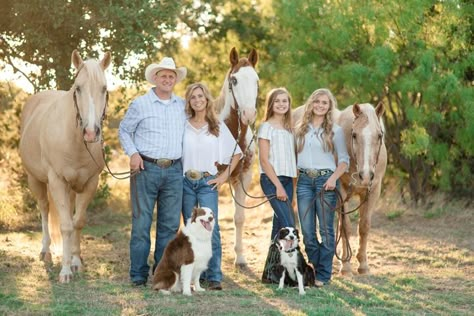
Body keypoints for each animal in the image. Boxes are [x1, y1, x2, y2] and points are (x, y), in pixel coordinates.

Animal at [19, 50, 111, 282]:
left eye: (104, 88)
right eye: (78, 88)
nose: (91, 132)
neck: (75, 141)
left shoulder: (90, 183)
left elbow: (77, 222)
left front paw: (76, 262)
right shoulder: (57, 181)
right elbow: (66, 225)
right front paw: (66, 271)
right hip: (36, 180)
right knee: (44, 209)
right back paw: (46, 252)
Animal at [292, 102, 388, 276]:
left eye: (379, 135)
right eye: (354, 135)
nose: (365, 175)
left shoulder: (373, 191)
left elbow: (364, 227)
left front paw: (363, 265)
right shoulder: (340, 191)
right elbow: (345, 227)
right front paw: (346, 266)